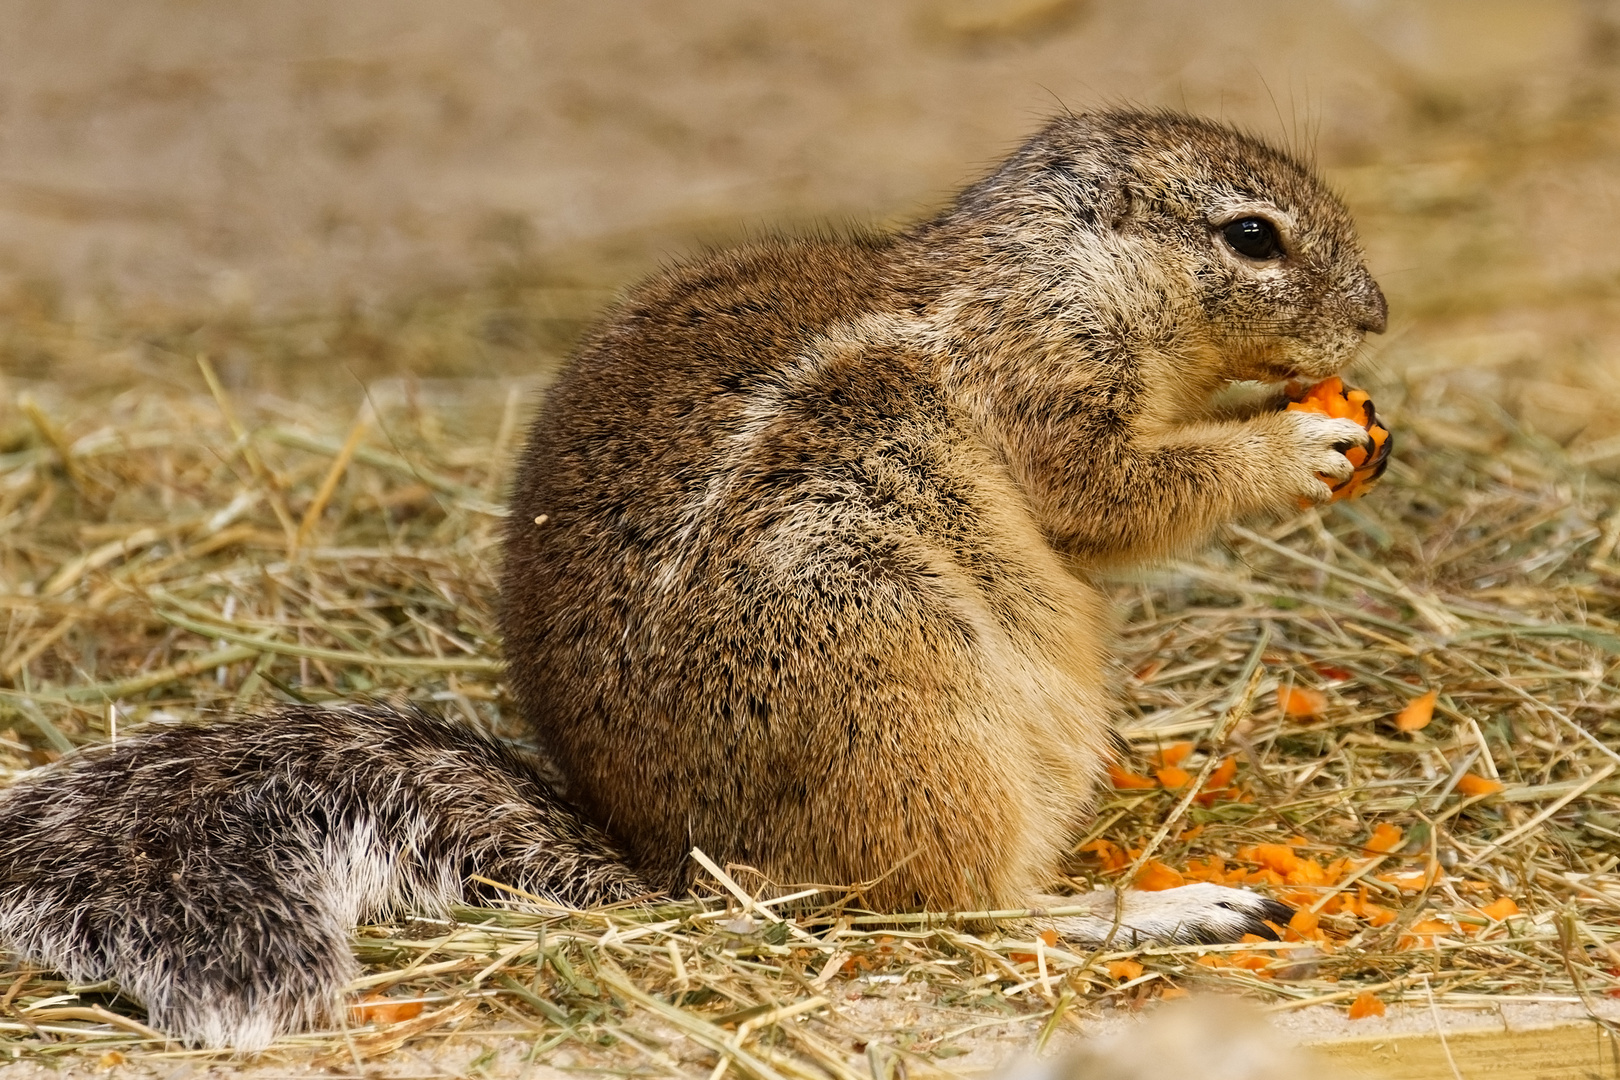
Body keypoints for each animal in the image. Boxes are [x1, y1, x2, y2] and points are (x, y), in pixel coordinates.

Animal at [6, 110, 1386, 1049]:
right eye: (1252, 236)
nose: (1375, 317)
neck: (1043, 271)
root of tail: (671, 874)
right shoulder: (1051, 394)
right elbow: (1113, 498)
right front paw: (1299, 444)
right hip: (910, 693)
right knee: (960, 915)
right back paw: (1175, 909)